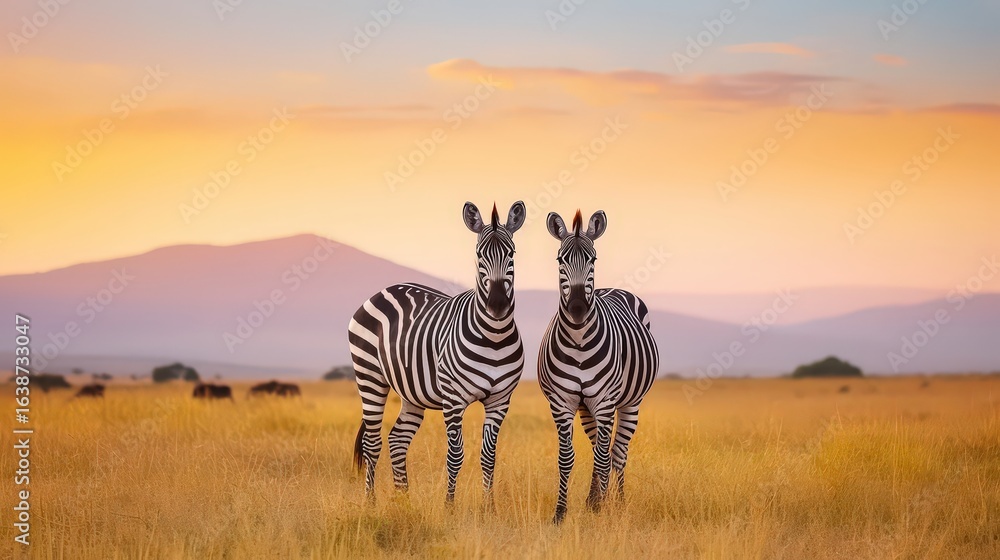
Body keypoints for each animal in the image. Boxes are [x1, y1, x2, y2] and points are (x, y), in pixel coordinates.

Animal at [349, 201, 526, 505]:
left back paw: (403, 501)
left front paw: (489, 507)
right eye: (479, 254)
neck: (494, 336)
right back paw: (370, 504)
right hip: (369, 377)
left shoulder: (500, 400)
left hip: (410, 392)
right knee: (372, 443)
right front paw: (449, 506)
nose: (497, 305)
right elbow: (455, 456)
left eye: (511, 253)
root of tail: (384, 289)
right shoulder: (453, 399)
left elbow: (489, 457)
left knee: (397, 439)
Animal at [538, 209, 660, 523]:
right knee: (598, 449)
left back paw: (616, 502)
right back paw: (593, 500)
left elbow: (606, 456)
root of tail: (613, 288)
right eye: (560, 260)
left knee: (617, 452)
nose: (578, 307)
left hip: (630, 403)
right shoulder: (562, 402)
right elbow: (566, 458)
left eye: (593, 259)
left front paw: (604, 509)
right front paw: (561, 513)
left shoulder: (605, 401)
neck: (579, 340)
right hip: (586, 408)